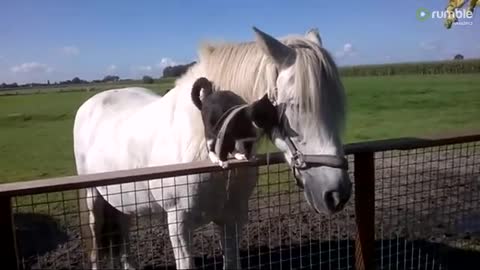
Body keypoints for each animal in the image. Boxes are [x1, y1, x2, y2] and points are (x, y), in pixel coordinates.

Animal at [75, 26, 352, 268]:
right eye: (295, 105)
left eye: (338, 103)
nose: (336, 194)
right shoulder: (179, 226)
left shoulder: (232, 219)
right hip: (93, 202)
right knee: (95, 252)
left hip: (121, 202)